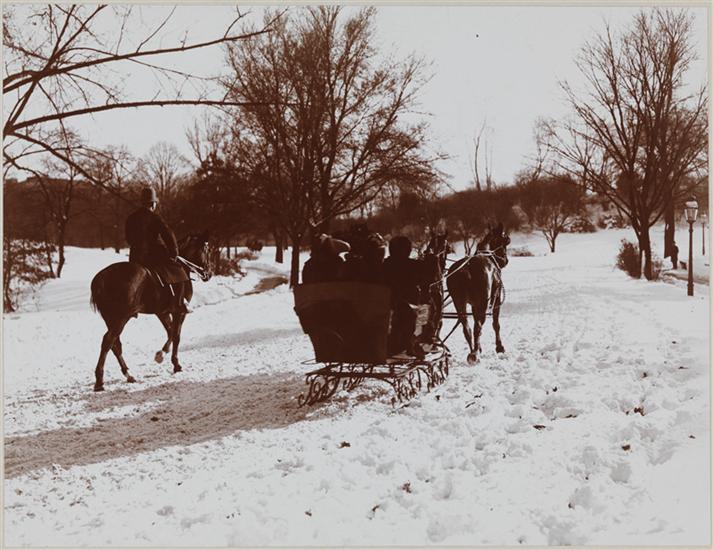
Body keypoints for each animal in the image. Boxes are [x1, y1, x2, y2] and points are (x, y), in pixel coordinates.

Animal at [89, 233, 212, 391]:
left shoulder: (162, 312)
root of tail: (101, 279)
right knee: (108, 341)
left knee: (115, 345)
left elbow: (170, 331)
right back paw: (100, 381)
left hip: (110, 318)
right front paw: (173, 362)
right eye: (207, 250)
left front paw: (164, 356)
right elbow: (176, 335)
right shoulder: (179, 312)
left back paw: (128, 374)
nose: (209, 273)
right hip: (121, 318)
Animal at [445, 223, 510, 364]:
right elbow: (496, 324)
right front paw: (499, 347)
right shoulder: (495, 299)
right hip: (483, 302)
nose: (505, 260)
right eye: (506, 240)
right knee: (478, 327)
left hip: (459, 302)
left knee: (466, 327)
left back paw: (473, 351)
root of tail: (465, 269)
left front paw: (479, 347)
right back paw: (474, 354)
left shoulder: (474, 305)